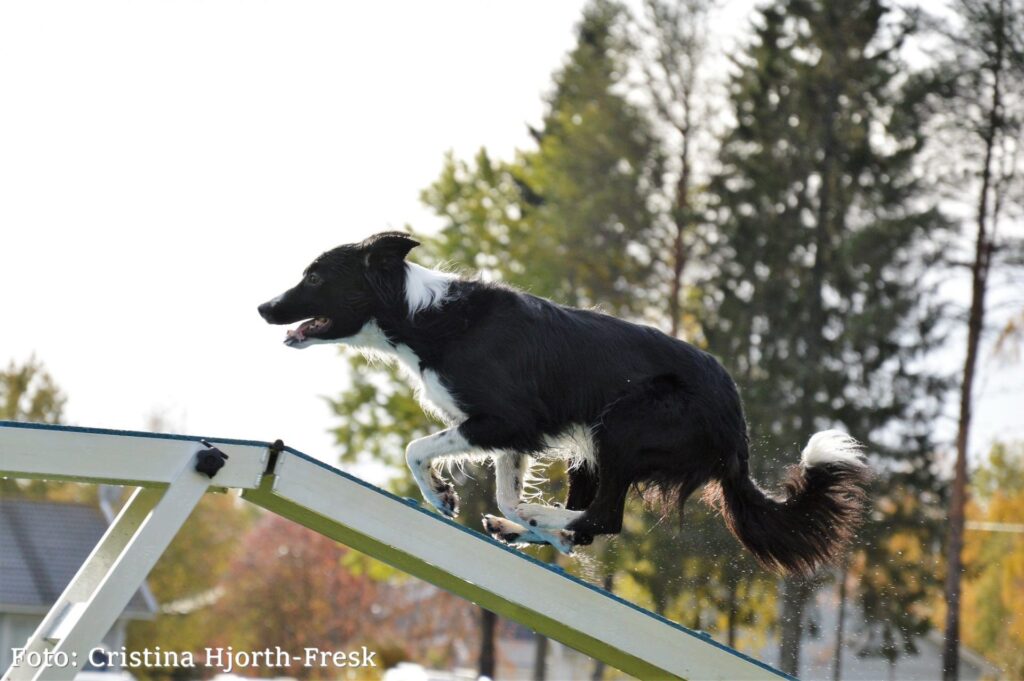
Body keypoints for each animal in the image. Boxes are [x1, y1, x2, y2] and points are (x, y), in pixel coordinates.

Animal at [260, 231, 868, 569]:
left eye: (314, 277)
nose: (263, 307)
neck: (422, 317)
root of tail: (737, 425)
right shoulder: (512, 438)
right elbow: (501, 491)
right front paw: (483, 508)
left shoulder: (507, 420)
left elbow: (417, 448)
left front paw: (441, 496)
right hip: (592, 449)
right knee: (589, 520)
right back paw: (534, 528)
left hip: (622, 423)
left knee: (606, 517)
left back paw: (543, 520)